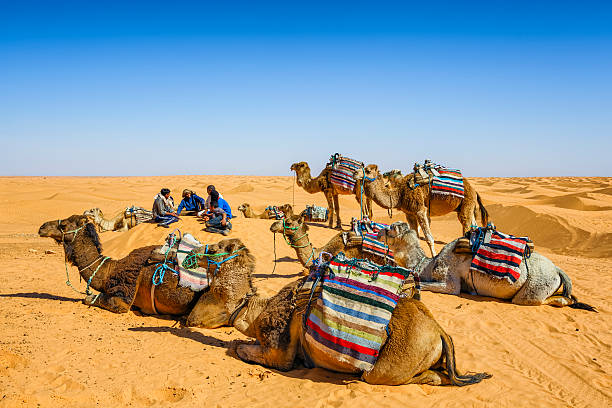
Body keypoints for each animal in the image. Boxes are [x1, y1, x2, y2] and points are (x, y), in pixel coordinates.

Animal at [183, 241, 492, 388]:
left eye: (214, 248)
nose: (193, 252)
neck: (255, 313)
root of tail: (439, 331)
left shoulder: (278, 352)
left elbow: (241, 349)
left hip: (387, 367)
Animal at [354, 163, 488, 255]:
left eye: (368, 170)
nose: (355, 172)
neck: (400, 194)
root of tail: (474, 190)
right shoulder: (409, 213)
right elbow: (415, 237)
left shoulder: (420, 210)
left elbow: (429, 238)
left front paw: (433, 258)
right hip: (467, 208)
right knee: (474, 227)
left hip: (466, 203)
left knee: (466, 228)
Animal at [378, 222, 596, 310]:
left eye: (390, 229)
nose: (378, 231)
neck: (427, 265)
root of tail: (558, 270)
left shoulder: (450, 282)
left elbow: (425, 285)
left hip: (533, 289)